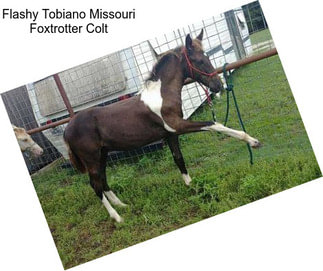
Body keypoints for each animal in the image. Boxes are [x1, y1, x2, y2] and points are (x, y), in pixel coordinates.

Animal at [64, 30, 262, 224]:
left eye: (207, 56)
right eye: (198, 60)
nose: (218, 86)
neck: (161, 95)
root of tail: (67, 130)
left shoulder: (170, 134)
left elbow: (178, 159)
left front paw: (191, 186)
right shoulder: (178, 126)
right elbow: (215, 125)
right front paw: (253, 141)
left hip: (102, 154)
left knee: (103, 180)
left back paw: (123, 205)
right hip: (91, 158)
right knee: (95, 184)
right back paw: (117, 217)